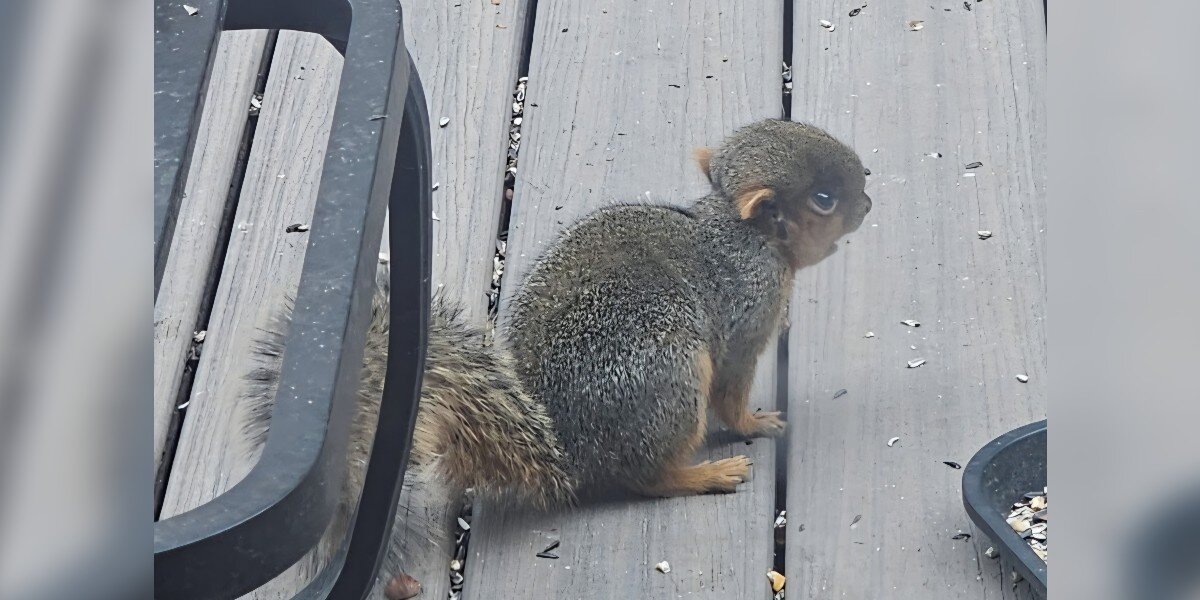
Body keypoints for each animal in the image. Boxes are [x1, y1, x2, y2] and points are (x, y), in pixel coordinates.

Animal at [238, 118, 871, 517]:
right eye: (823, 200)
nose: (867, 201)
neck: (744, 236)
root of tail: (570, 452)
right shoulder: (748, 313)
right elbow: (733, 390)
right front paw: (755, 422)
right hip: (669, 379)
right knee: (646, 477)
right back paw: (706, 473)